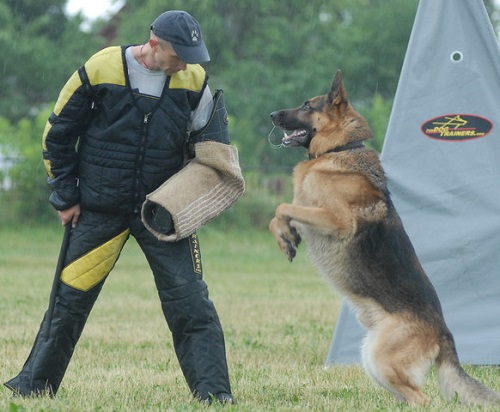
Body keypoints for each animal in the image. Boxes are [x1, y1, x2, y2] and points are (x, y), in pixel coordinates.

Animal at [270, 70, 500, 406]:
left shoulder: (335, 220)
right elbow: (279, 214)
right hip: (373, 360)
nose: (272, 115)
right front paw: (286, 238)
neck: (340, 149)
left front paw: (286, 234)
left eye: (307, 105)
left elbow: (282, 206)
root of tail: (444, 333)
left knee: (423, 399)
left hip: (382, 359)